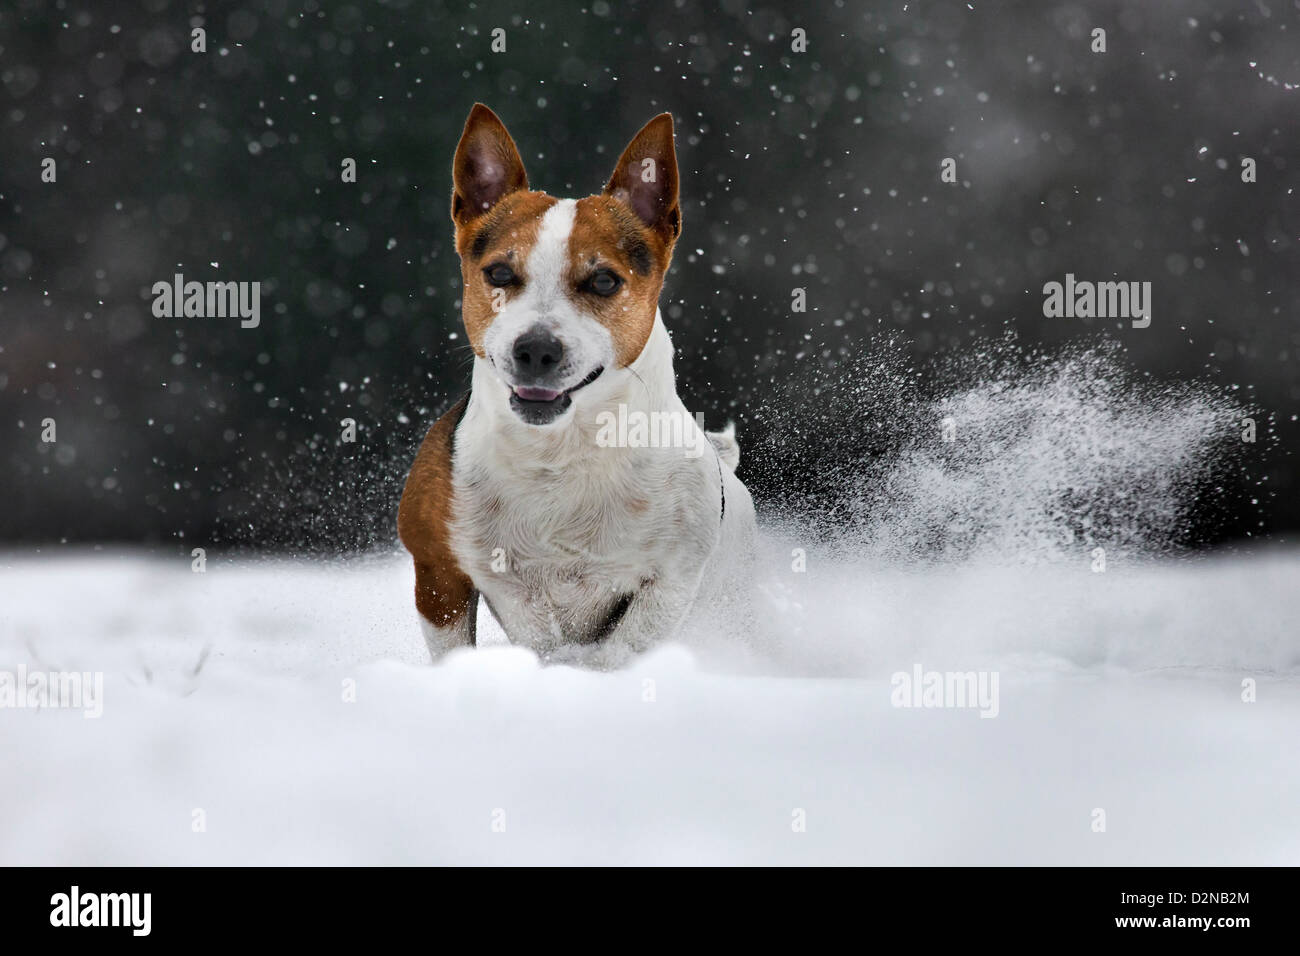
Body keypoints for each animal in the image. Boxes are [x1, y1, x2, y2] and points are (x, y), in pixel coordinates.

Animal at [400, 100, 759, 660]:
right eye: (499, 273)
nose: (536, 349)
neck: (559, 455)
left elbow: (619, 654)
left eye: (605, 280)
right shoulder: (439, 572)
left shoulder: (668, 585)